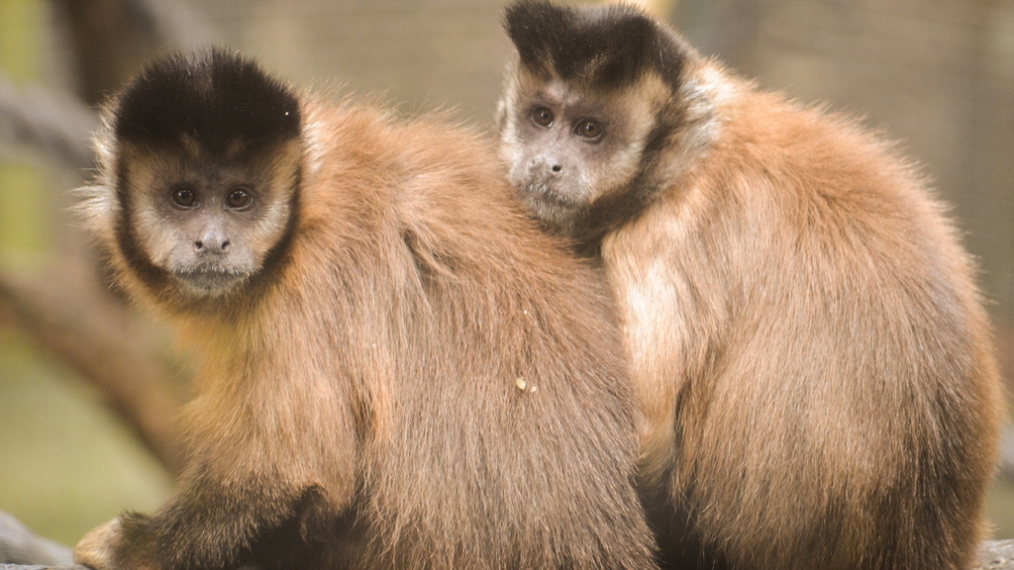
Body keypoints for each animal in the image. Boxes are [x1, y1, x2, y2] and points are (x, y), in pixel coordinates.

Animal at [70, 48, 661, 570]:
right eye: (184, 198)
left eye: (239, 199)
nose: (212, 243)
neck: (309, 208)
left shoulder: (306, 288)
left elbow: (290, 474)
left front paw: (134, 549)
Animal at [496, 2, 1005, 569]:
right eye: (542, 118)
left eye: (589, 129)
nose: (547, 163)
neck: (688, 155)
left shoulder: (660, 236)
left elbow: (645, 434)